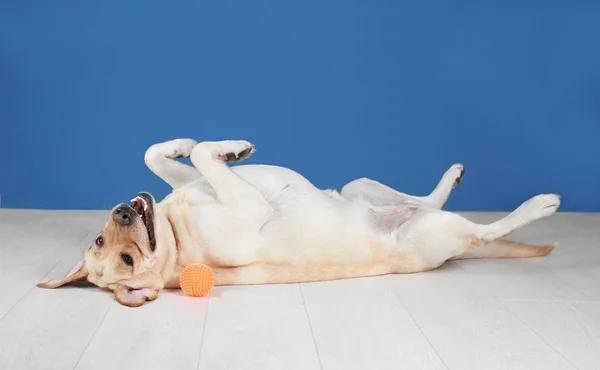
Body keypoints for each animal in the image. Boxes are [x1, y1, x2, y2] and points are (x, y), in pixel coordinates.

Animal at [38, 139, 556, 306]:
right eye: (126, 260)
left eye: (101, 239)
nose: (124, 211)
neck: (176, 235)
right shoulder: (245, 207)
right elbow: (204, 155)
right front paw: (224, 147)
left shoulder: (193, 183)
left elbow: (166, 155)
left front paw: (202, 145)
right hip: (432, 232)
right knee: (483, 232)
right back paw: (539, 205)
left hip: (360, 186)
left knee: (424, 198)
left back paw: (452, 175)